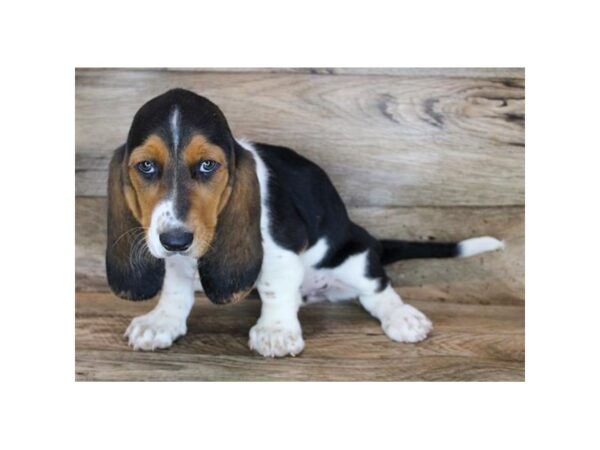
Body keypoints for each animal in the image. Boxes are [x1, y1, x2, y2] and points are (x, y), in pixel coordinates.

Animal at [105, 89, 504, 358]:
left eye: (207, 165)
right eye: (146, 166)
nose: (176, 240)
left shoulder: (282, 250)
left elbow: (272, 287)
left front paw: (275, 331)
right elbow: (175, 288)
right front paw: (161, 322)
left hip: (354, 257)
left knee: (378, 289)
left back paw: (403, 318)